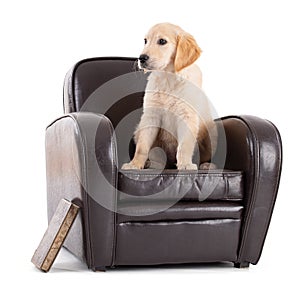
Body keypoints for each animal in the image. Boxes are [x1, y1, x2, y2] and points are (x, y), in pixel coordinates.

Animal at [122, 23, 218, 170]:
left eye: (162, 41)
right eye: (145, 41)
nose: (141, 58)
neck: (168, 78)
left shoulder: (187, 116)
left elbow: (184, 146)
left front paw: (185, 165)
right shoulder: (151, 116)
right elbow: (142, 147)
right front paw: (135, 164)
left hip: (211, 133)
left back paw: (207, 165)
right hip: (139, 129)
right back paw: (152, 164)